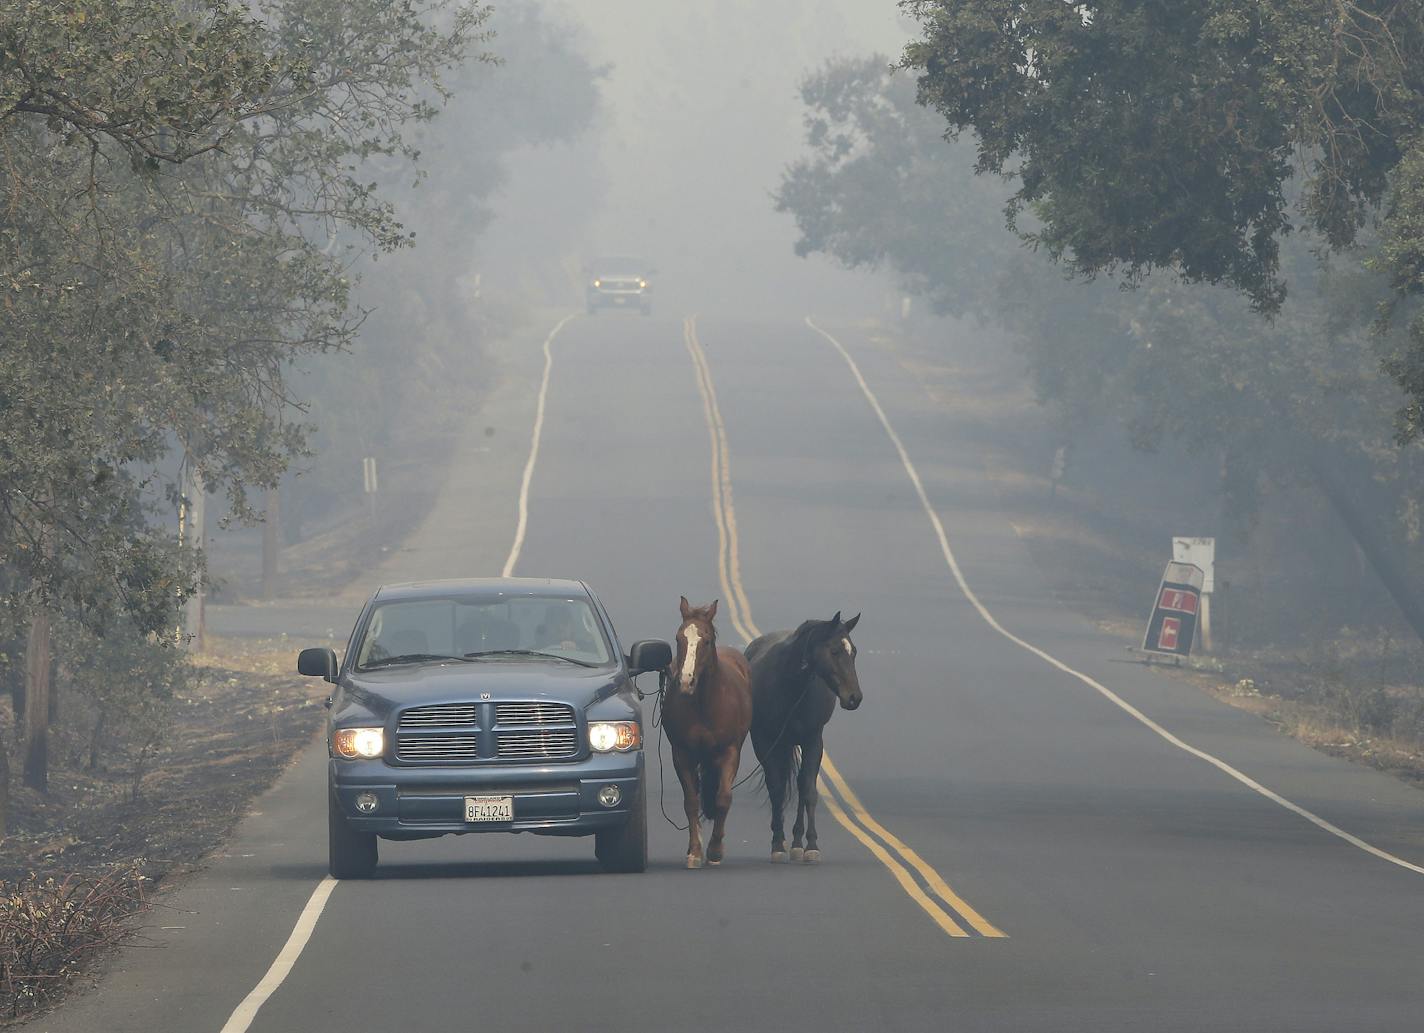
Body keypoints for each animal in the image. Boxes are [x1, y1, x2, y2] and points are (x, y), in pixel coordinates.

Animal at [666, 592, 757, 866]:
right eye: (679, 638)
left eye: (705, 641)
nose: (686, 681)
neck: (705, 704)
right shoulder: (682, 754)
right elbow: (691, 801)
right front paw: (695, 851)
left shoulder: (730, 752)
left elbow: (723, 798)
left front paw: (715, 850)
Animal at [746, 612, 865, 860]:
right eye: (834, 651)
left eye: (854, 651)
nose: (854, 697)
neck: (790, 686)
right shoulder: (764, 741)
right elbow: (776, 788)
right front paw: (777, 843)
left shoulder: (813, 740)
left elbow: (808, 789)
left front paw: (810, 845)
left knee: (801, 783)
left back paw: (797, 841)